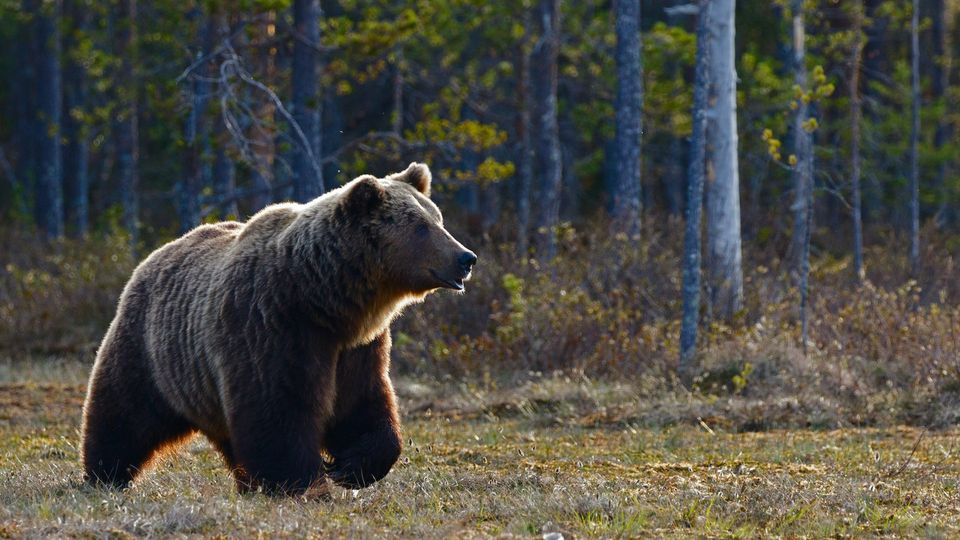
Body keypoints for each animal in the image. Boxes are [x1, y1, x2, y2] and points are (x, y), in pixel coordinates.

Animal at [80, 162, 478, 496]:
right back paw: (104, 475)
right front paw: (304, 482)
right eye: (421, 226)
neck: (323, 299)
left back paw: (246, 483)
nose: (466, 258)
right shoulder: (272, 327)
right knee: (123, 412)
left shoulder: (357, 348)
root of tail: (154, 256)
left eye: (438, 219)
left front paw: (350, 467)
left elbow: (363, 404)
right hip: (151, 349)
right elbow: (278, 410)